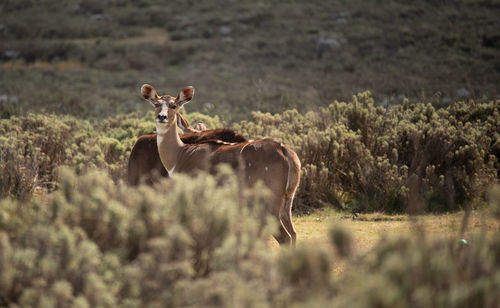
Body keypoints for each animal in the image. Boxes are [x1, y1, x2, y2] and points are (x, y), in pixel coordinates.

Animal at [141, 83, 300, 245]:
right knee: (293, 234)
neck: (179, 154)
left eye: (174, 105)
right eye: (156, 104)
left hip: (269, 203)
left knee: (285, 237)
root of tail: (285, 151)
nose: (162, 117)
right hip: (288, 200)